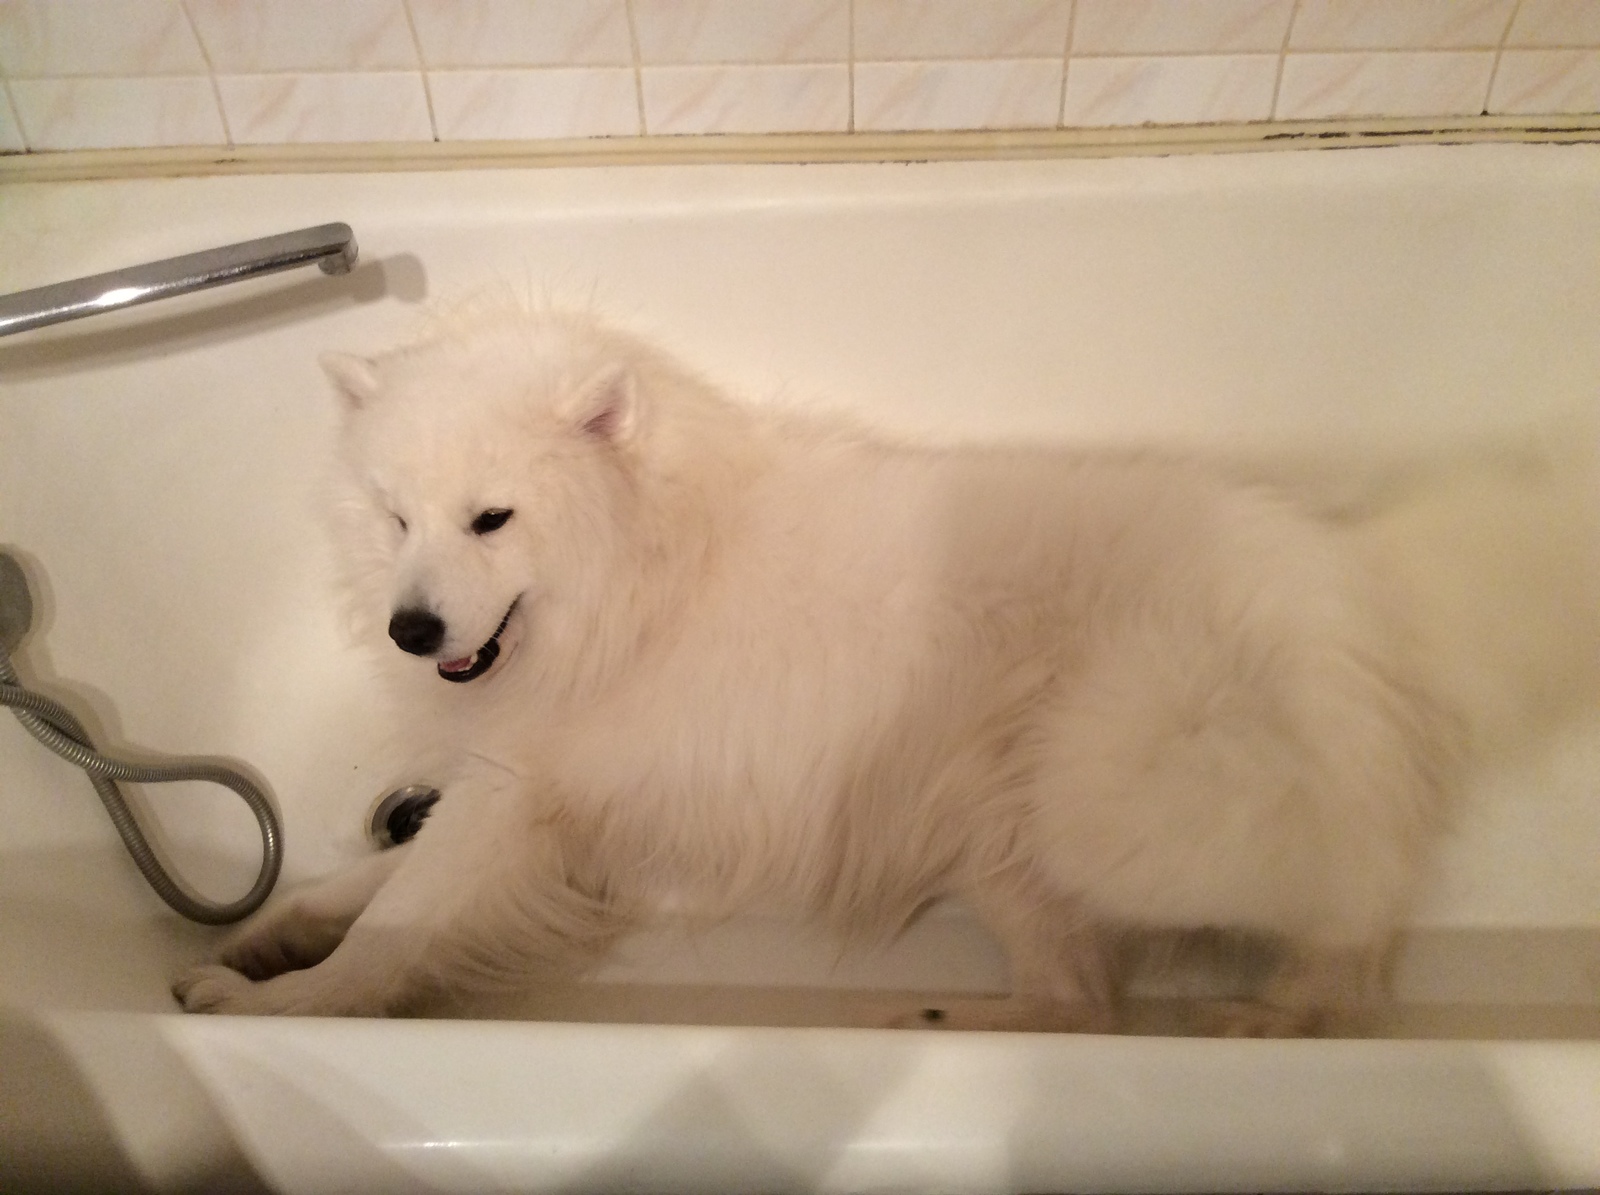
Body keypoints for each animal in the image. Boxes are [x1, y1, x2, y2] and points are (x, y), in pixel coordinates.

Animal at [175, 303, 1548, 1030]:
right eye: (396, 516)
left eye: (491, 519)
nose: (410, 629)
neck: (641, 571)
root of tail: (1355, 569)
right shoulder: (515, 798)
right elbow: (358, 885)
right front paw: (260, 940)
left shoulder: (512, 803)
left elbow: (392, 926)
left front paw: (278, 1008)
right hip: (1004, 840)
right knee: (1082, 995)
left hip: (1099, 796)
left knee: (1328, 909)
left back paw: (1269, 1013)